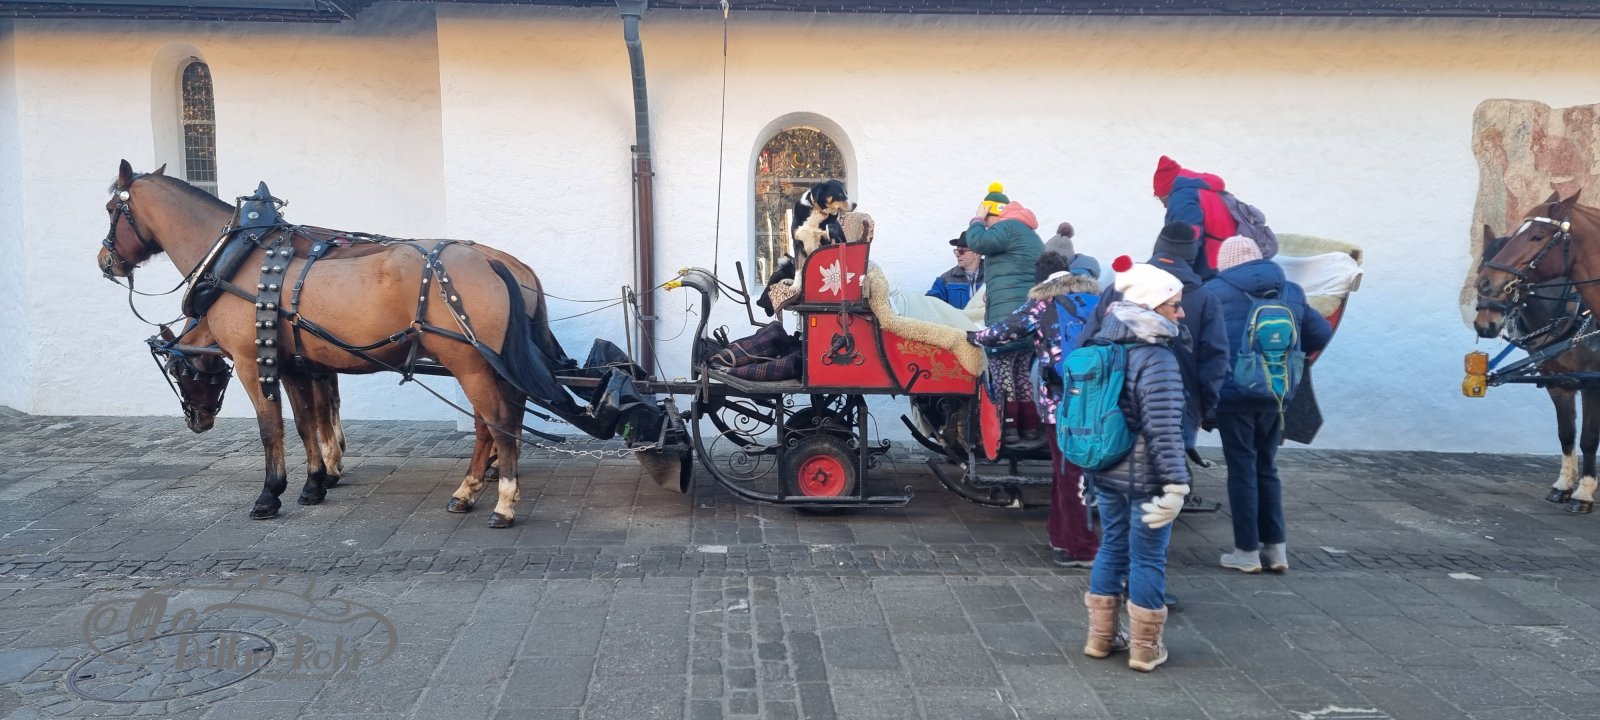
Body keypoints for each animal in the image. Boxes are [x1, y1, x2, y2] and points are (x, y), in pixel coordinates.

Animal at [98, 160, 599, 527]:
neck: (240, 257)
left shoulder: (253, 361)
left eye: (109, 209)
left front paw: (270, 494)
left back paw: (503, 501)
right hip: (481, 364)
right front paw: (315, 483)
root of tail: (497, 263)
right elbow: (307, 423)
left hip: (471, 364)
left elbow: (272, 428)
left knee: (498, 423)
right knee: (492, 424)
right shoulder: (297, 363)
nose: (106, 260)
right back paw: (470, 491)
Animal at [1476, 191, 1600, 511]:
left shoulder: (1593, 384)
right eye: (1480, 265)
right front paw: (1564, 486)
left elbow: (1589, 439)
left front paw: (1584, 493)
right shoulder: (1559, 382)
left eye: (1537, 236)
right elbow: (1566, 434)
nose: (1486, 283)